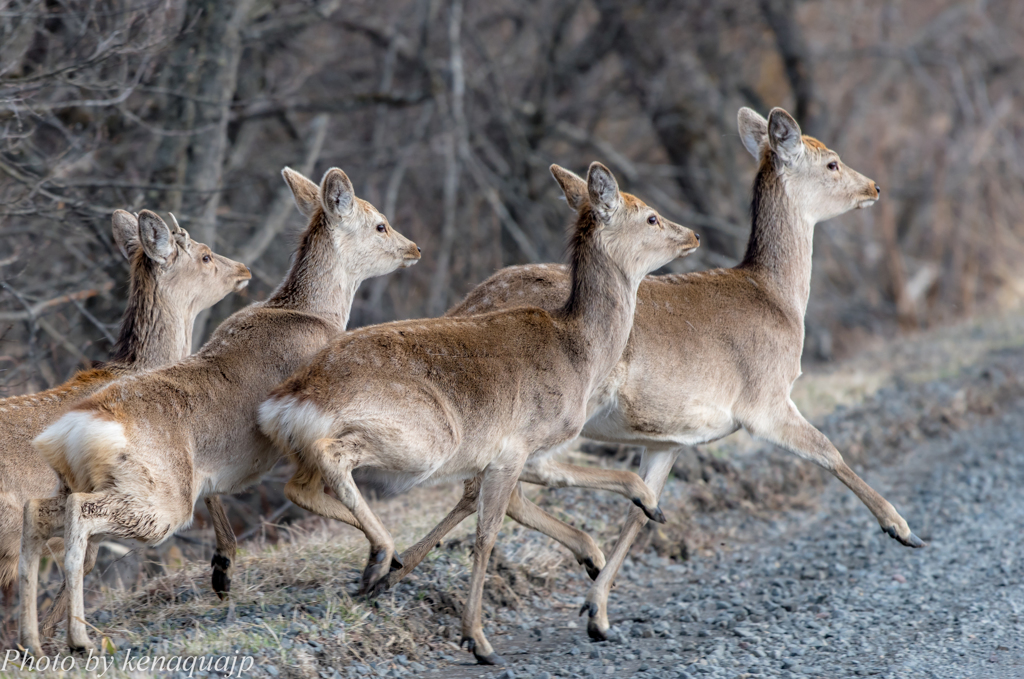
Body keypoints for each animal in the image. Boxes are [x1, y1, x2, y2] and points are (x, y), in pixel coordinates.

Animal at [260, 160, 700, 663]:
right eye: (650, 217)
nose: (692, 234)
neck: (580, 355)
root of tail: (288, 399)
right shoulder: (516, 446)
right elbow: (487, 535)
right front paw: (477, 638)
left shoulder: (534, 452)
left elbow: (571, 491)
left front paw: (613, 541)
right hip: (424, 438)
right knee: (334, 456)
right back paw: (381, 558)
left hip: (317, 449)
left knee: (299, 486)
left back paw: (385, 562)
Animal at [380, 107, 925, 643]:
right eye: (831, 162)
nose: (874, 187)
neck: (780, 300)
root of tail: (467, 304)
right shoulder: (763, 400)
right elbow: (830, 451)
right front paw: (902, 529)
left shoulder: (671, 437)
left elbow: (640, 512)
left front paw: (597, 610)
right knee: (491, 484)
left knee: (494, 488)